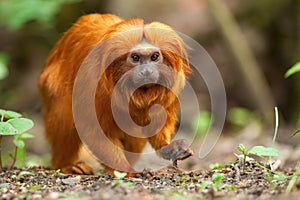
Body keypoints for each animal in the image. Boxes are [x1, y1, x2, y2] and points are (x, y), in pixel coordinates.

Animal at [38, 13, 193, 175]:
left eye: (154, 57)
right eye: (135, 58)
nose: (146, 71)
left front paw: (168, 148)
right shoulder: (93, 81)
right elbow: (94, 130)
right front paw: (128, 172)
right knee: (65, 113)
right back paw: (65, 165)